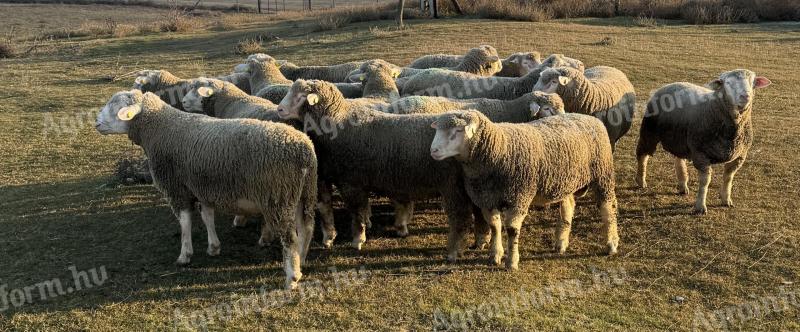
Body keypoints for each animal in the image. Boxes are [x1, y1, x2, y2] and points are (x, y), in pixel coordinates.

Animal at [95, 89, 318, 290]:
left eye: (116, 106)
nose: (96, 122)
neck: (161, 128)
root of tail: (303, 150)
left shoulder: (177, 188)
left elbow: (185, 222)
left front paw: (185, 255)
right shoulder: (203, 187)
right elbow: (207, 216)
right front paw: (213, 247)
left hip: (278, 197)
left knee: (290, 237)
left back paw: (292, 277)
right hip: (304, 193)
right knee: (307, 227)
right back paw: (302, 260)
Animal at [278, 79, 484, 258]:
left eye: (300, 96)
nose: (279, 109)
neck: (336, 123)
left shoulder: (351, 182)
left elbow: (357, 211)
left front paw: (358, 239)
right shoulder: (325, 176)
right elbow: (325, 208)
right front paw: (329, 237)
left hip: (452, 184)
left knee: (463, 216)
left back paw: (460, 248)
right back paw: (481, 240)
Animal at [432, 111, 620, 270]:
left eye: (458, 130)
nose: (433, 150)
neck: (500, 149)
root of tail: (590, 118)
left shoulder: (519, 196)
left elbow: (512, 230)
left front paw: (511, 262)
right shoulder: (487, 198)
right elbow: (494, 226)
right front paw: (495, 254)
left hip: (602, 173)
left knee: (608, 207)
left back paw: (611, 244)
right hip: (566, 180)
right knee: (568, 205)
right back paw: (561, 242)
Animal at [636, 70, 772, 215]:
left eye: (753, 82)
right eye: (728, 83)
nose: (745, 96)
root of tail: (670, 84)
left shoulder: (740, 155)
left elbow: (728, 177)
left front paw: (726, 199)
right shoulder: (701, 154)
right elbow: (705, 182)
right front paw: (700, 206)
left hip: (680, 139)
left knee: (678, 159)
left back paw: (682, 185)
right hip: (649, 131)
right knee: (642, 155)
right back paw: (641, 180)